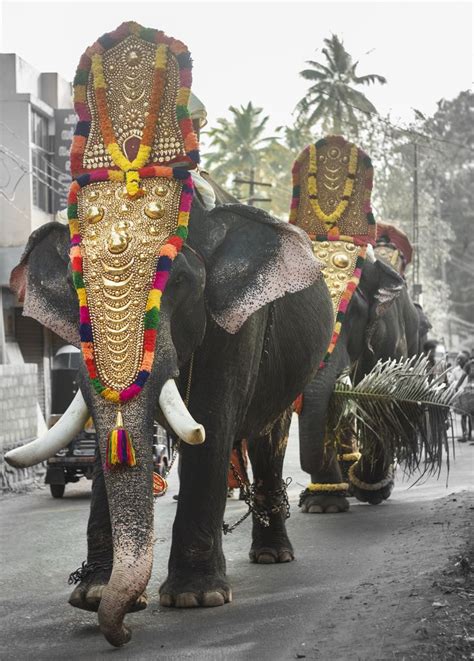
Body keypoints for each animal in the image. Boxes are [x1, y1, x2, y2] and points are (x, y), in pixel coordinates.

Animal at [7, 23, 334, 648]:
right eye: (74, 282)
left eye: (177, 281)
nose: (121, 635)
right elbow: (110, 437)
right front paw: (92, 596)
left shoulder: (238, 320)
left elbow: (211, 415)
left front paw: (194, 598)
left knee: (265, 436)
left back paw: (272, 556)